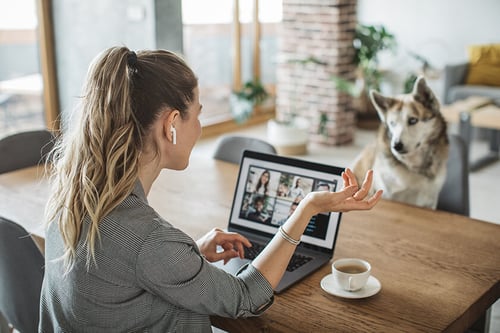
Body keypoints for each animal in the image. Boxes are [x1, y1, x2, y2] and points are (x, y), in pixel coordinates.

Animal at [352, 76, 450, 209]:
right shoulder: (388, 194)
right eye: (392, 123)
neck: (415, 168)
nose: (396, 146)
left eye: (413, 120)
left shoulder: (430, 201)